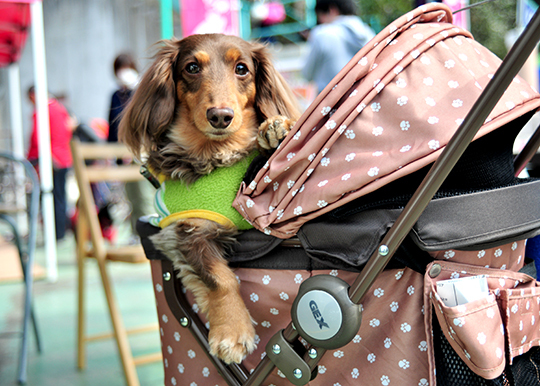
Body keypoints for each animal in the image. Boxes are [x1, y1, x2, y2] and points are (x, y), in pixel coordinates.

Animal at [118, 34, 302, 364]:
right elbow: (220, 278)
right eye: (192, 67)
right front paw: (233, 332)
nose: (220, 116)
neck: (216, 155)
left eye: (242, 68)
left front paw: (278, 129)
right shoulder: (187, 229)